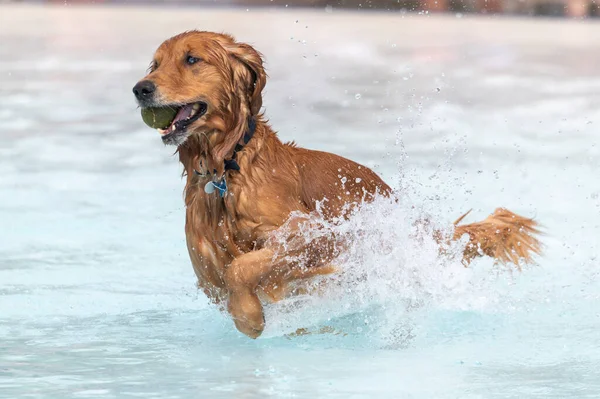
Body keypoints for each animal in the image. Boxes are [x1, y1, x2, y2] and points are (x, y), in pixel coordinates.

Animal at [134, 31, 540, 340]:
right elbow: (229, 274)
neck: (225, 169)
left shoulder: (313, 232)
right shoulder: (207, 269)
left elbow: (245, 268)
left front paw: (249, 315)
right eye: (155, 64)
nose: (140, 88)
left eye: (192, 59)